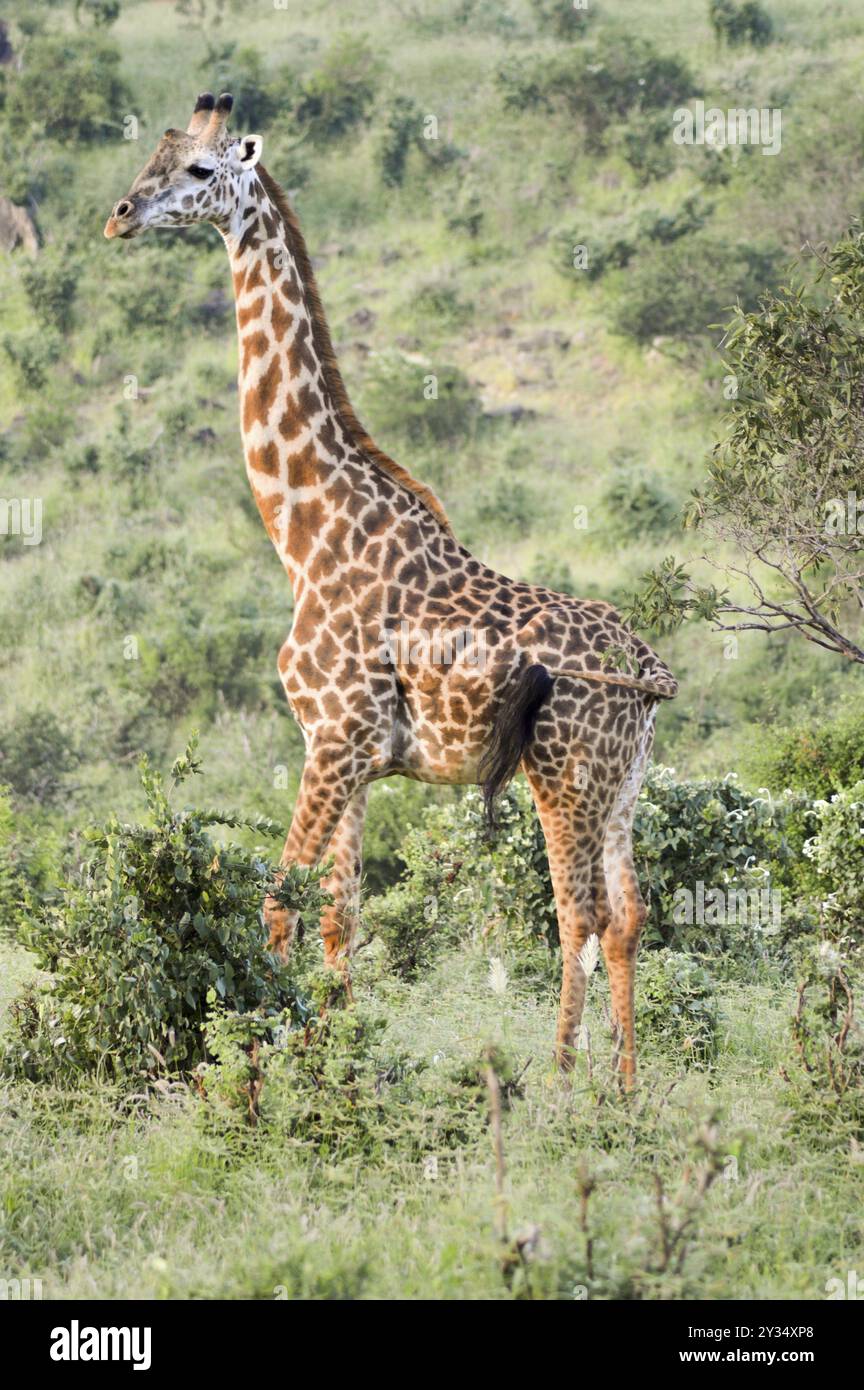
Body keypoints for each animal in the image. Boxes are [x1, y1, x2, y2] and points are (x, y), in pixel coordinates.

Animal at [106, 95, 677, 1084]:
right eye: (153, 156)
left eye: (199, 172)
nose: (121, 215)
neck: (307, 534)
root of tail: (647, 673)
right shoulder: (357, 754)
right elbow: (341, 915)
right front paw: (333, 1060)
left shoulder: (333, 738)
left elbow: (279, 902)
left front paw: (261, 1074)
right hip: (623, 785)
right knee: (629, 917)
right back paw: (628, 1090)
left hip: (563, 774)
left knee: (579, 913)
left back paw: (564, 1082)